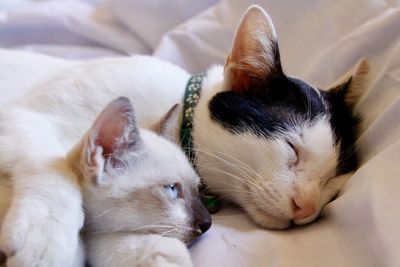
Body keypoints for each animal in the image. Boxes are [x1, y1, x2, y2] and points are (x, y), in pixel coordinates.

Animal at [0, 4, 368, 267]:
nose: (305, 208)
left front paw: (146, 250)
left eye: (333, 181)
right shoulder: (21, 117)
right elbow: (53, 166)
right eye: (292, 148)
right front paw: (46, 238)